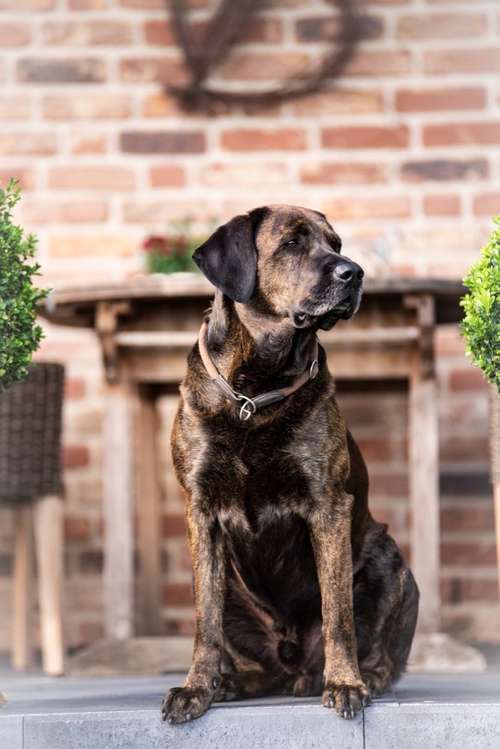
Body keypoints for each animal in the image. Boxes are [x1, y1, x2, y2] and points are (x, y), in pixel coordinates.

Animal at [163, 205, 418, 724]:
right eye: (292, 243)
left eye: (336, 244)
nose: (354, 272)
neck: (258, 389)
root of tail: (292, 663)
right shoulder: (201, 511)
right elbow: (204, 623)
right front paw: (195, 689)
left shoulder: (328, 506)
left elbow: (339, 613)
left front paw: (344, 683)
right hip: (236, 591)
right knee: (250, 659)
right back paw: (230, 683)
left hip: (391, 562)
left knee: (380, 653)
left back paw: (360, 678)